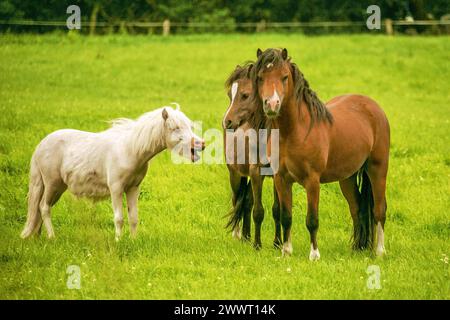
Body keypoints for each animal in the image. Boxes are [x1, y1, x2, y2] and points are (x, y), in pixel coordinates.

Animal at [21, 104, 204, 240]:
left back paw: (37, 236)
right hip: (52, 183)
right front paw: (118, 240)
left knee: (39, 209)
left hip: (58, 187)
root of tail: (40, 145)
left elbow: (133, 218)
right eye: (176, 128)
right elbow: (119, 218)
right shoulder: (116, 188)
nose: (201, 144)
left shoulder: (133, 188)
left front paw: (133, 240)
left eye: (189, 126)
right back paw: (51, 237)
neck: (129, 150)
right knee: (44, 207)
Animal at [222, 62, 282, 248]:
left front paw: (277, 243)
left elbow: (277, 209)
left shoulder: (277, 175)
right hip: (235, 174)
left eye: (245, 95)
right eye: (230, 95)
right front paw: (257, 245)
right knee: (236, 201)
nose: (227, 122)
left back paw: (246, 236)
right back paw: (238, 235)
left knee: (246, 201)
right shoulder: (256, 174)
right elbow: (258, 211)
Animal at [250, 48, 390, 260]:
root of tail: (374, 107)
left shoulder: (312, 181)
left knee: (379, 209)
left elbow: (312, 219)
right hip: (347, 177)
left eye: (284, 77)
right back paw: (358, 248)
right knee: (357, 208)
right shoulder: (281, 179)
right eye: (260, 77)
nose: (272, 105)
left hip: (377, 169)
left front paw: (314, 254)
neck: (294, 131)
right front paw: (286, 251)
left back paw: (379, 251)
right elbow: (286, 216)